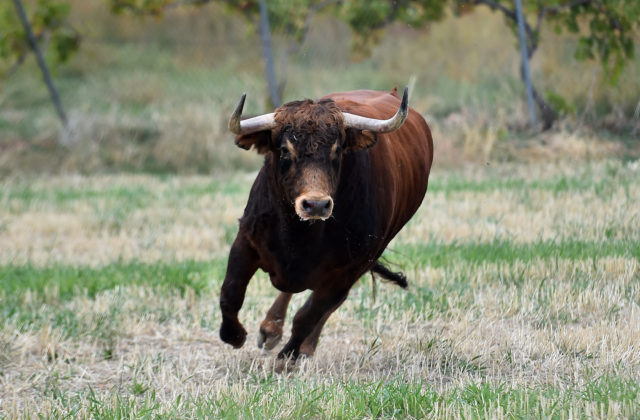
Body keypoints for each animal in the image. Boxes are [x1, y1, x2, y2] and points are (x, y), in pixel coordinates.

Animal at [220, 86, 436, 360]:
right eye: (285, 150)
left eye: (337, 151)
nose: (315, 204)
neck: (298, 235)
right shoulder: (246, 240)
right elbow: (230, 294)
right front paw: (234, 336)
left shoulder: (348, 270)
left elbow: (308, 316)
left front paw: (288, 358)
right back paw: (270, 329)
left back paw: (303, 345)